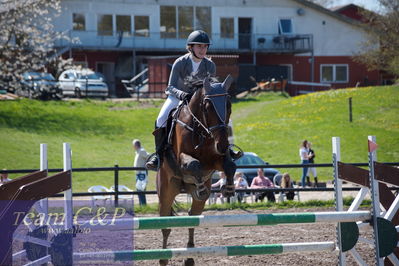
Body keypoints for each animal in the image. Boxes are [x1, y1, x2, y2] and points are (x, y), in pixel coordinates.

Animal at [157, 75, 238, 266]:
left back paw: (189, 257)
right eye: (208, 107)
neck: (200, 128)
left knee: (192, 218)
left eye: (229, 105)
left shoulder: (214, 161)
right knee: (165, 225)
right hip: (166, 192)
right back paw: (163, 258)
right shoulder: (181, 159)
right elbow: (194, 165)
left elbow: (229, 165)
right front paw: (201, 186)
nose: (223, 145)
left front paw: (228, 188)